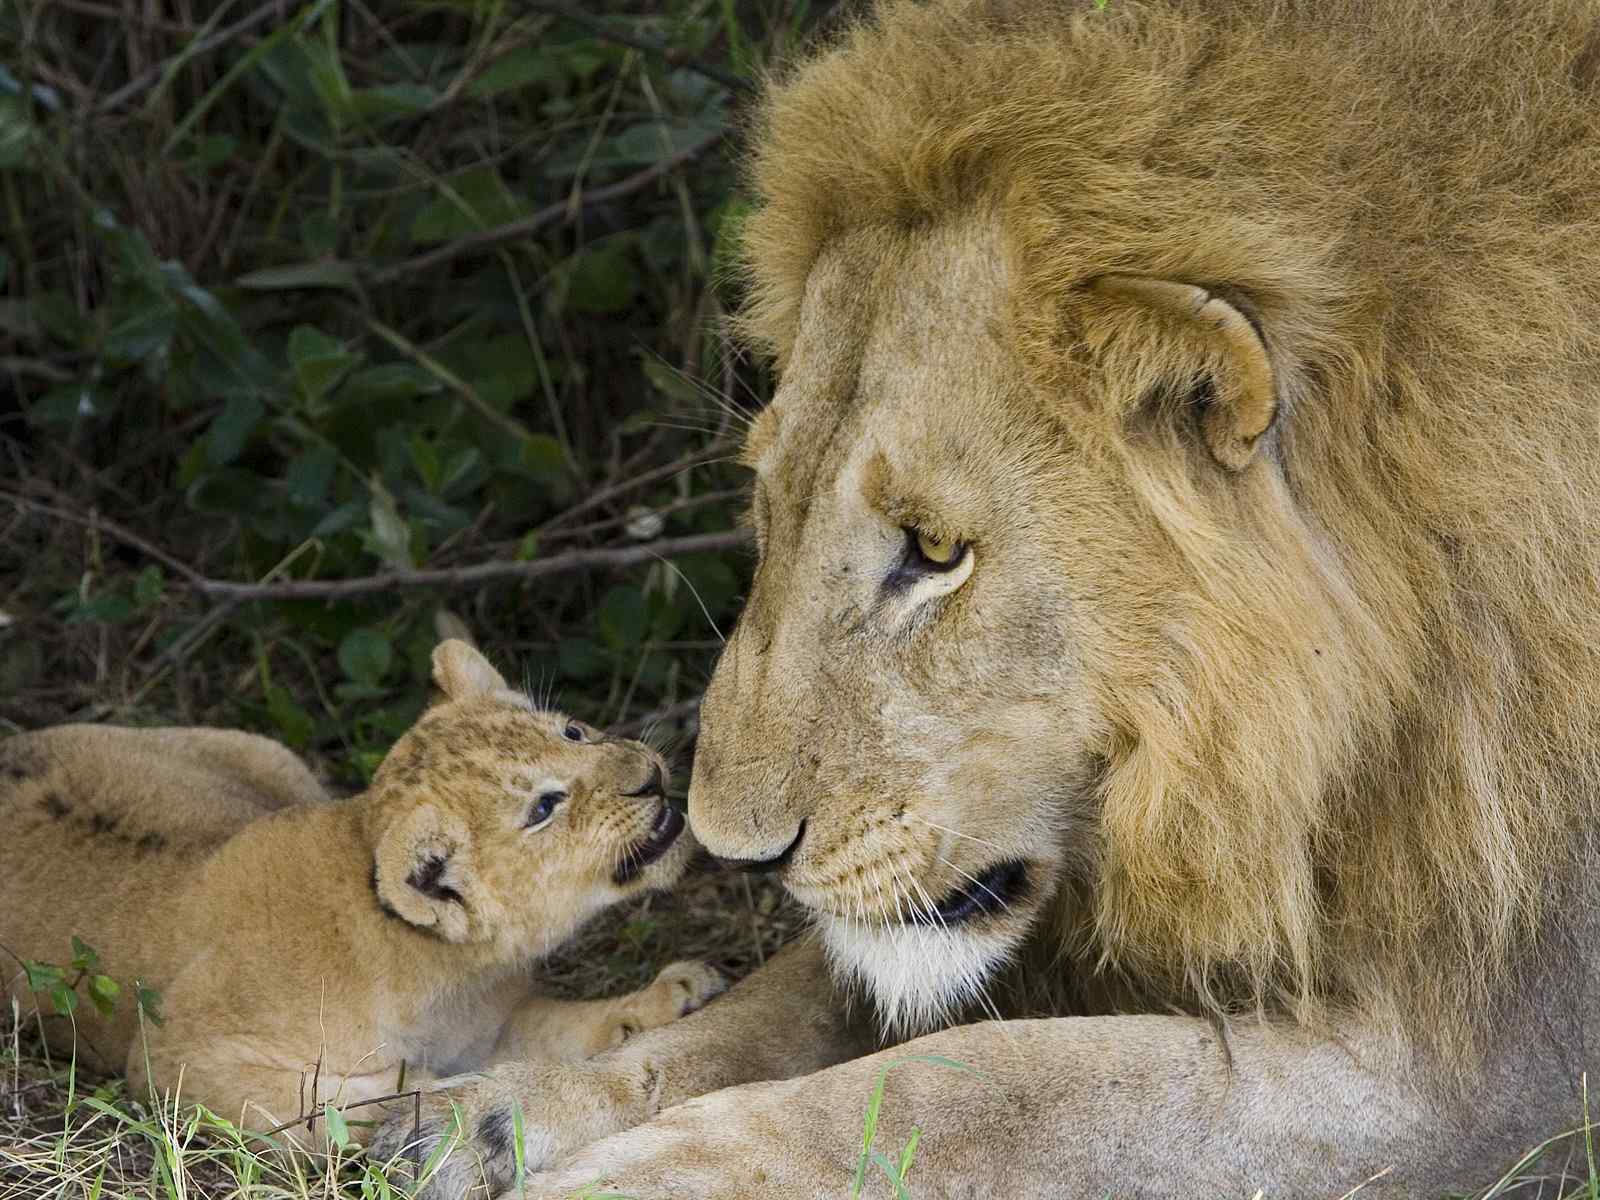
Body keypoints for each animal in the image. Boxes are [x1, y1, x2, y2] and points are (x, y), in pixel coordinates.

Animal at [377, 4, 1600, 1196]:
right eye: (769, 504)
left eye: (932, 549)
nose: (734, 853)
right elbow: (769, 1010)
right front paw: (470, 1119)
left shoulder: (1488, 1071)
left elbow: (994, 1088)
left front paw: (658, 1171)